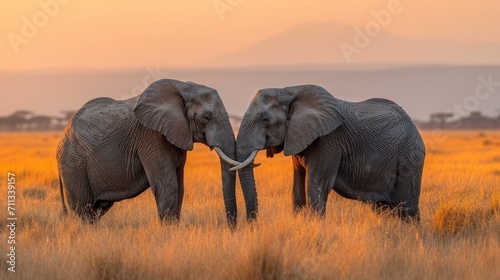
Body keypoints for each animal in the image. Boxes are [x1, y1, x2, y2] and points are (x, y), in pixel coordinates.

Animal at [57, 79, 247, 228]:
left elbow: (179, 186)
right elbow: (168, 184)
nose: (232, 228)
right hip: (73, 165)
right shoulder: (151, 137)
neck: (183, 87)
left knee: (98, 209)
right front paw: (169, 232)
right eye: (206, 118)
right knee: (84, 208)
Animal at [232, 84, 424, 220]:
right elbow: (297, 189)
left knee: (408, 208)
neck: (289, 90)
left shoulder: (329, 141)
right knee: (383, 208)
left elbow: (315, 186)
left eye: (265, 120)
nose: (252, 223)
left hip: (410, 156)